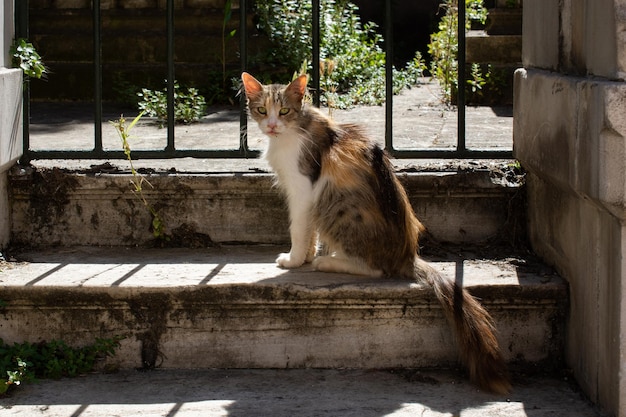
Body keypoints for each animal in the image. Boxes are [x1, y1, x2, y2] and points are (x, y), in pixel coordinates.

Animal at [241, 71, 510, 394]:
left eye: (283, 111)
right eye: (261, 110)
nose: (271, 125)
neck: (294, 130)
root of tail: (407, 256)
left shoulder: (304, 189)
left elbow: (299, 228)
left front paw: (294, 260)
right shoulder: (305, 196)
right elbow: (310, 234)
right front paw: (303, 257)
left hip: (338, 205)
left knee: (375, 269)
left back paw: (328, 262)